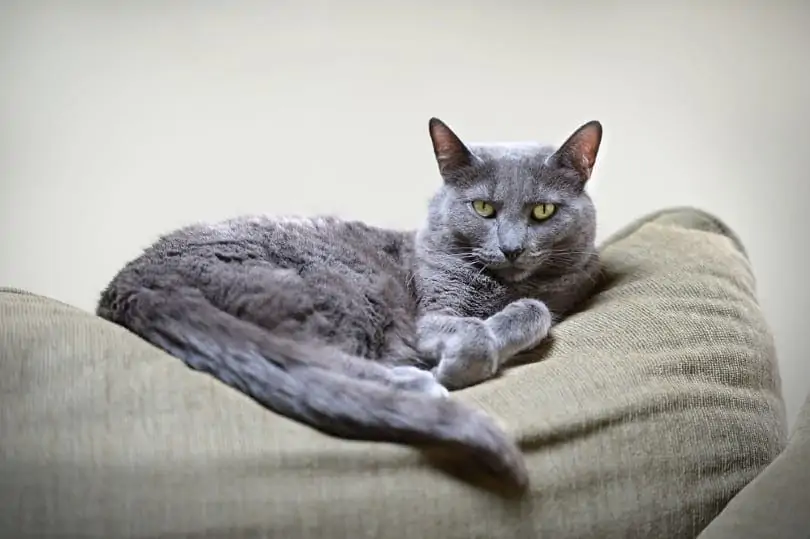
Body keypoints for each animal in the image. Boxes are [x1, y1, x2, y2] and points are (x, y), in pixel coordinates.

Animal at [96, 118, 600, 490]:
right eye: (482, 209)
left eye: (542, 212)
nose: (512, 248)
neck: (502, 285)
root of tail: (130, 284)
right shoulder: (431, 313)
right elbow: (473, 326)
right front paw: (465, 360)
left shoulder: (571, 284)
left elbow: (538, 309)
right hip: (340, 288)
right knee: (305, 356)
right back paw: (417, 384)